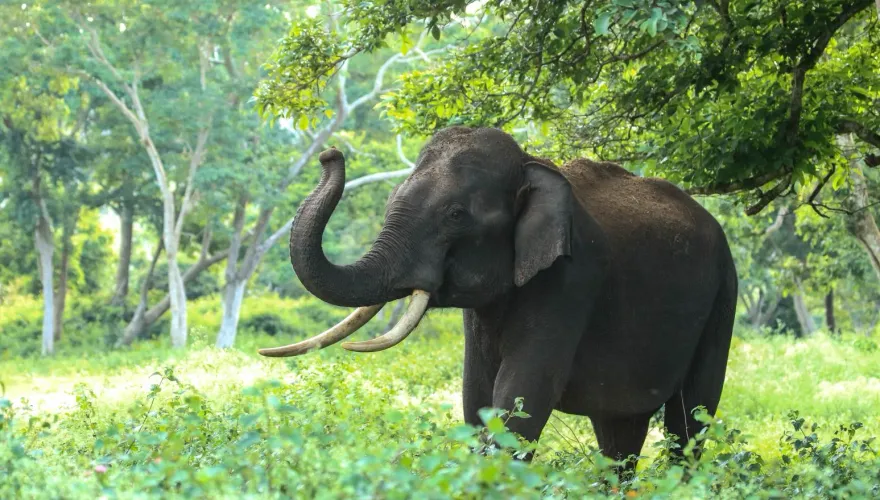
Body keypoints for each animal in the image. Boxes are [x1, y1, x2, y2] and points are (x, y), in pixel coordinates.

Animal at [259, 126, 737, 471]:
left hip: (723, 294)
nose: (330, 154)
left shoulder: (571, 280)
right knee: (619, 432)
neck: (531, 165)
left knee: (690, 418)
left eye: (455, 214)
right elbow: (477, 396)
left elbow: (521, 397)